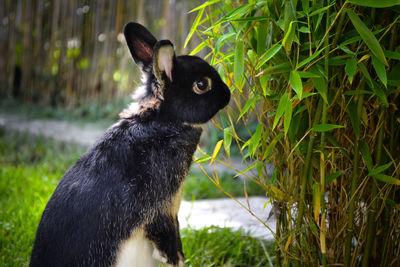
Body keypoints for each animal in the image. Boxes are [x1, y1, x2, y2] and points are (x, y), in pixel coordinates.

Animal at [29, 22, 230, 266]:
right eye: (202, 84)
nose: (228, 95)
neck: (163, 119)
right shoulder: (163, 205)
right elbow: (166, 232)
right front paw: (175, 258)